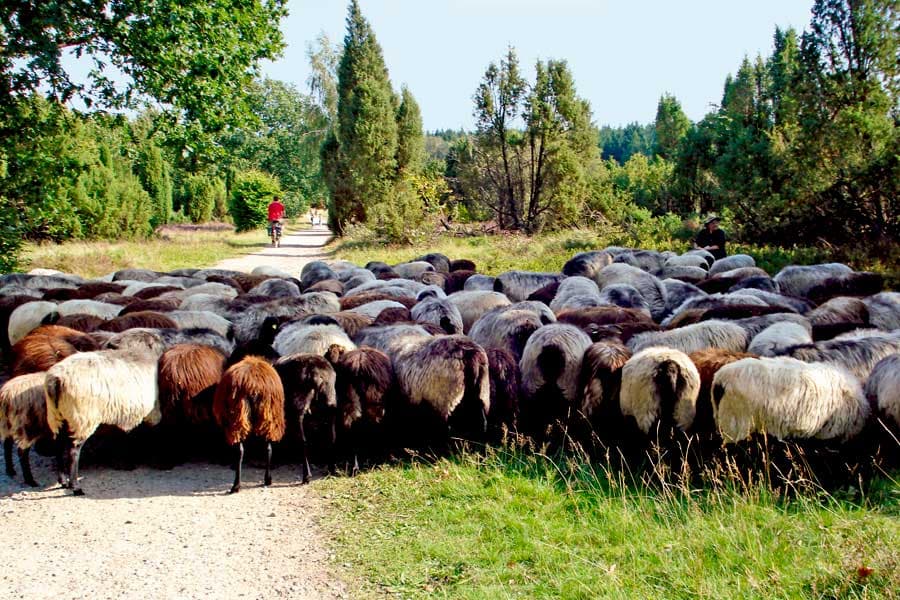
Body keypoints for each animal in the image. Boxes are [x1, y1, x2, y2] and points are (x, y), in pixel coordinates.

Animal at [44, 330, 167, 494]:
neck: (137, 352)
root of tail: (56, 380)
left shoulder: (125, 412)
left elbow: (124, 435)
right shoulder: (151, 412)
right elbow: (149, 432)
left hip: (57, 416)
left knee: (58, 446)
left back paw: (63, 480)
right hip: (82, 418)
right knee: (73, 451)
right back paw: (75, 486)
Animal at [212, 356, 284, 492]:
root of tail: (253, 385)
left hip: (239, 418)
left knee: (242, 450)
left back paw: (237, 485)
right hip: (266, 418)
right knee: (266, 448)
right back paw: (264, 480)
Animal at [274, 352, 338, 482]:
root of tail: (315, 374)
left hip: (298, 407)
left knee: (303, 441)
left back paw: (306, 475)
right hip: (331, 402)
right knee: (331, 437)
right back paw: (331, 469)